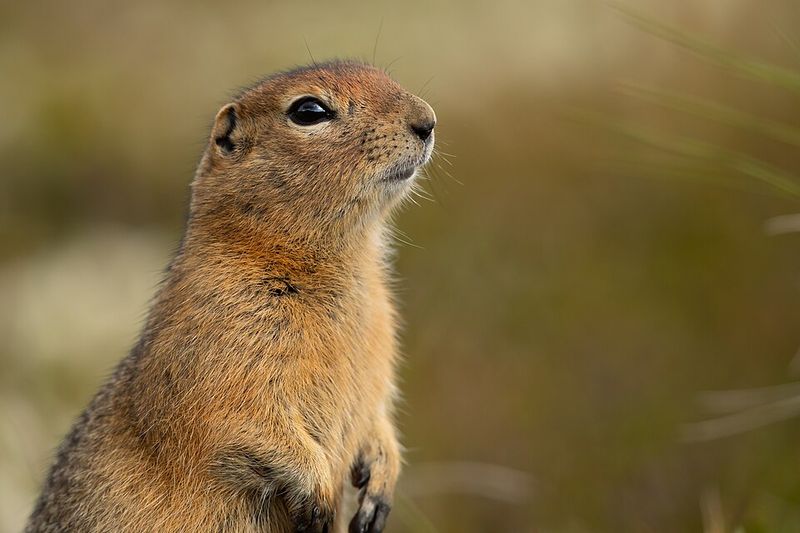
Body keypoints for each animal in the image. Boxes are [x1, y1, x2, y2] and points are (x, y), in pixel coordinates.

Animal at [26, 60, 436, 533]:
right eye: (309, 111)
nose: (427, 121)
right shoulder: (225, 330)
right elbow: (245, 415)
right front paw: (319, 499)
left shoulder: (379, 341)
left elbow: (377, 413)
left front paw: (378, 492)